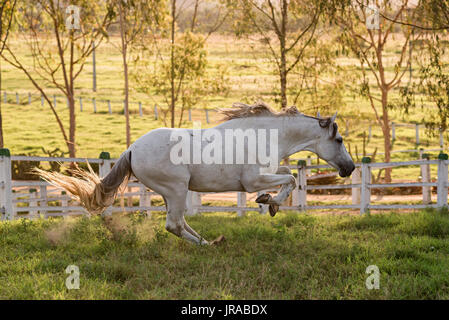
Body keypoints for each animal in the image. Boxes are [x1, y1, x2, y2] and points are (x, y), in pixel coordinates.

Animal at [36, 102, 354, 245]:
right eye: (339, 140)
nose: (349, 168)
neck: (264, 135)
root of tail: (132, 149)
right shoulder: (251, 181)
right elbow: (289, 179)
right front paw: (269, 202)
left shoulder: (266, 172)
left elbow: (288, 173)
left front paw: (269, 201)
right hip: (176, 189)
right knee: (173, 225)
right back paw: (206, 245)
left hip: (174, 193)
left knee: (179, 222)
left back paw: (211, 242)